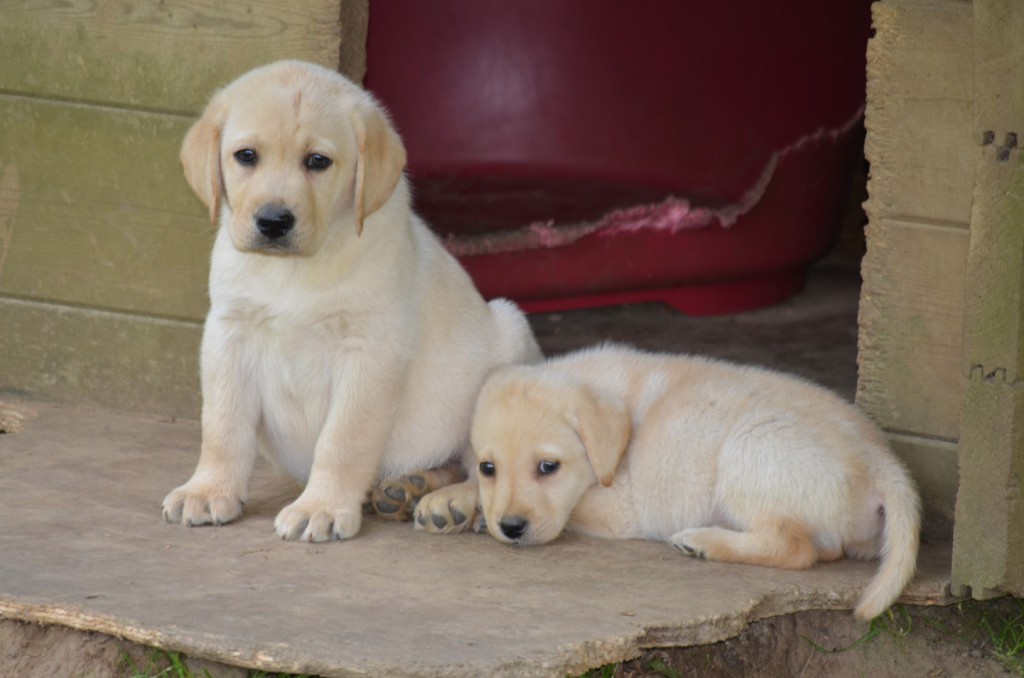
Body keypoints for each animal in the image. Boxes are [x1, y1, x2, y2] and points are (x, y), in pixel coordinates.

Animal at [161, 61, 536, 544]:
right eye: (246, 156)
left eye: (317, 161)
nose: (273, 221)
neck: (295, 270)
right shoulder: (229, 334)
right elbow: (222, 425)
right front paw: (208, 490)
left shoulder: (370, 350)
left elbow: (343, 438)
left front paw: (320, 506)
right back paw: (408, 486)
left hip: (509, 335)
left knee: (487, 467)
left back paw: (452, 503)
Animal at [464, 346, 921, 622]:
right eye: (489, 467)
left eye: (548, 466)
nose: (511, 527)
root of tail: (881, 459)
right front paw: (459, 499)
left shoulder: (619, 505)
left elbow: (572, 510)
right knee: (822, 547)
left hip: (748, 449)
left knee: (795, 548)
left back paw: (702, 541)